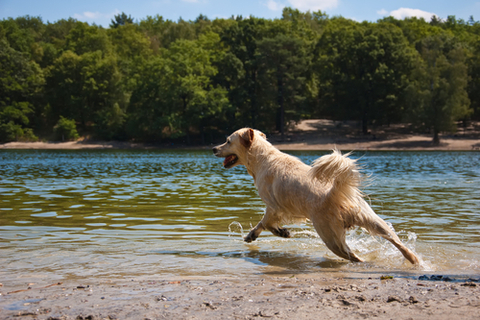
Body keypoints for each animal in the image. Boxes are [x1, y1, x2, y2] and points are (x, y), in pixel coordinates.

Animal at [214, 127, 420, 264]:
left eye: (228, 140)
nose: (214, 148)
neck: (262, 158)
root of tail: (335, 192)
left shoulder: (273, 206)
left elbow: (265, 223)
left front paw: (278, 232)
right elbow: (263, 224)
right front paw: (260, 234)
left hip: (330, 236)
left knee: (353, 255)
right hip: (374, 221)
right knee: (397, 242)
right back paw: (415, 261)